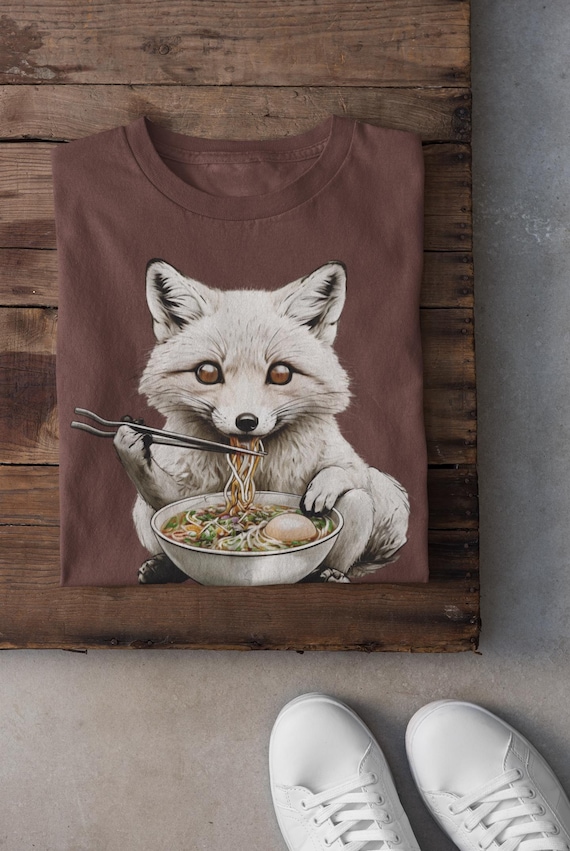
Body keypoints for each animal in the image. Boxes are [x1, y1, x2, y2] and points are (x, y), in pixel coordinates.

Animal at [113, 258, 410, 584]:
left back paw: (330, 574)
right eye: (207, 373)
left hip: (358, 509)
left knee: (352, 511)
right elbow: (165, 495)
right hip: (141, 510)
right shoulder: (185, 488)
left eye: (281, 374)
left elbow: (348, 472)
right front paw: (130, 444)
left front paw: (323, 486)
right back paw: (161, 567)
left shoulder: (348, 461)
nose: (246, 422)